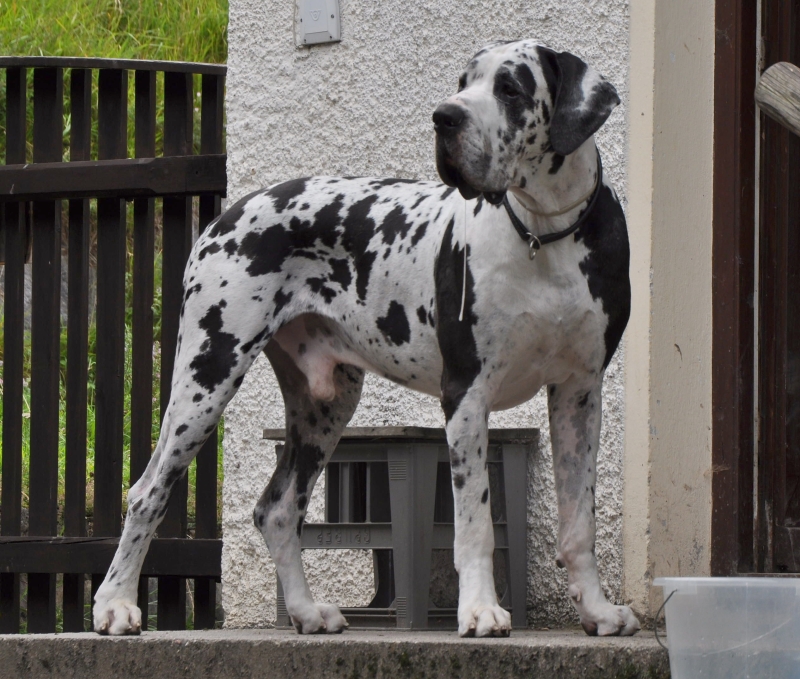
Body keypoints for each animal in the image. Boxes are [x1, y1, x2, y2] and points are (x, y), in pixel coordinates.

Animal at [93, 39, 638, 638]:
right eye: (463, 81)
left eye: (511, 89)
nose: (444, 117)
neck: (545, 231)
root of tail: (233, 208)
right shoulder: (467, 393)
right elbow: (474, 521)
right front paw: (479, 610)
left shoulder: (579, 395)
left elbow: (579, 521)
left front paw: (597, 610)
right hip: (206, 377)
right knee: (148, 493)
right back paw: (114, 605)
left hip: (325, 407)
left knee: (278, 509)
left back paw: (306, 612)